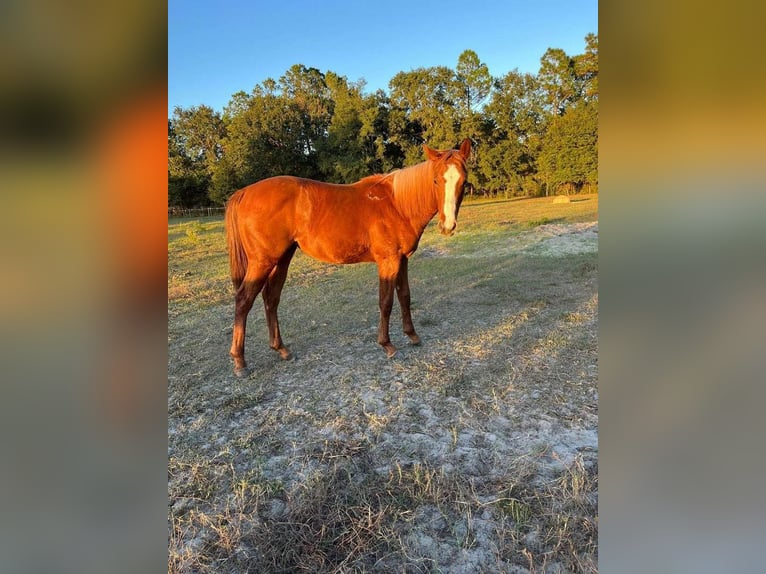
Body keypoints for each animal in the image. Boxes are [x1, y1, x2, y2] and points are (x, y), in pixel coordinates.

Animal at [224, 138, 472, 376]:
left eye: (463, 182)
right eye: (436, 181)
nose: (448, 226)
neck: (397, 204)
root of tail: (244, 193)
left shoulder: (402, 260)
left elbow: (405, 296)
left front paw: (412, 335)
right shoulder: (388, 261)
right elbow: (386, 301)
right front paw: (387, 345)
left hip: (281, 259)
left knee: (271, 299)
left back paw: (281, 349)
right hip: (262, 262)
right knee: (243, 301)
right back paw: (240, 362)